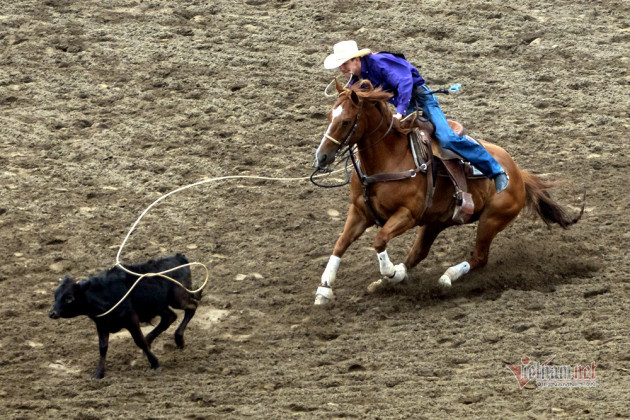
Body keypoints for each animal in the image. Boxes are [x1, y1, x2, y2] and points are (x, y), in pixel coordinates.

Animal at [314, 79, 584, 304]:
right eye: (329, 117)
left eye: (346, 121)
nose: (322, 157)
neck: (389, 160)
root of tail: (517, 173)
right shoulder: (360, 211)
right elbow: (340, 243)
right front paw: (324, 289)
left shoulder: (407, 215)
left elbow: (379, 240)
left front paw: (390, 272)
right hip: (435, 222)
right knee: (418, 254)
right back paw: (389, 280)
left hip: (491, 219)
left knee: (479, 257)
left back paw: (445, 276)